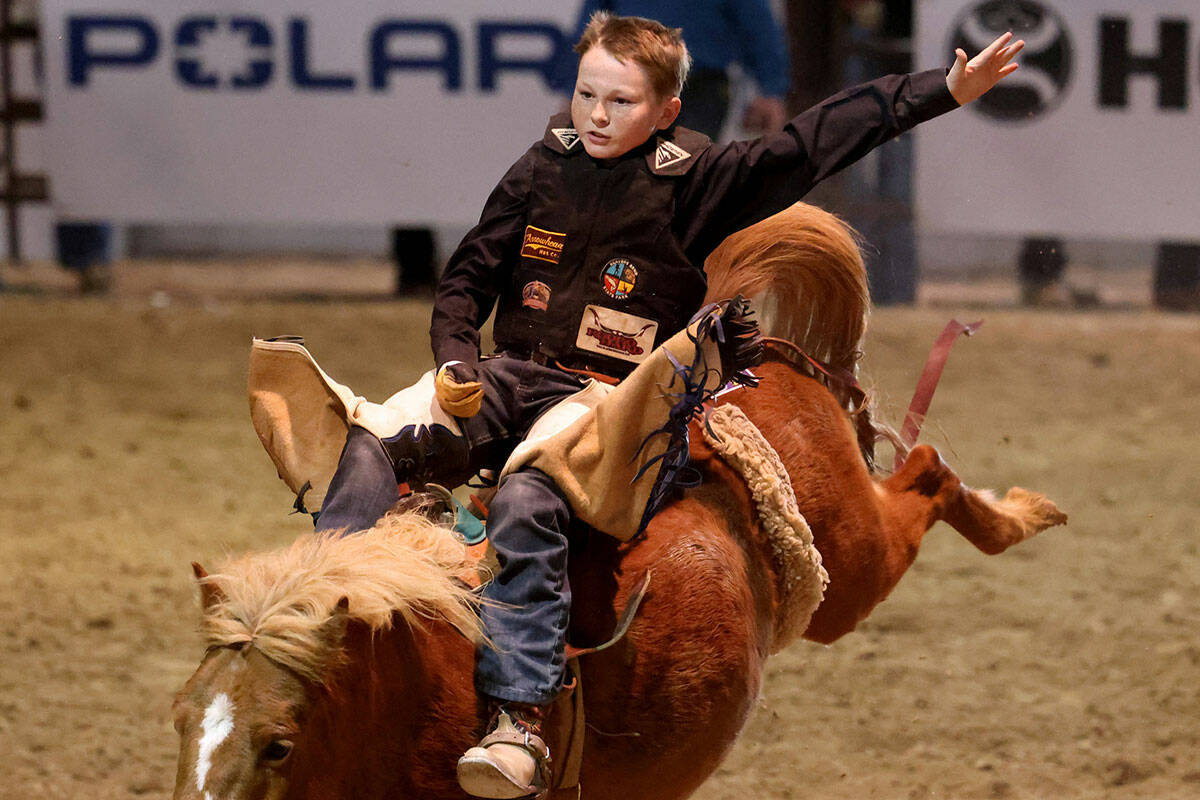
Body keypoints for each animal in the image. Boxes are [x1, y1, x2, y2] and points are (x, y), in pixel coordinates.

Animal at [174, 203, 1065, 800]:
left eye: (279, 744)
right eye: (182, 719)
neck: (408, 682)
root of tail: (746, 360)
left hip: (849, 567)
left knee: (926, 473)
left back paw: (1021, 511)